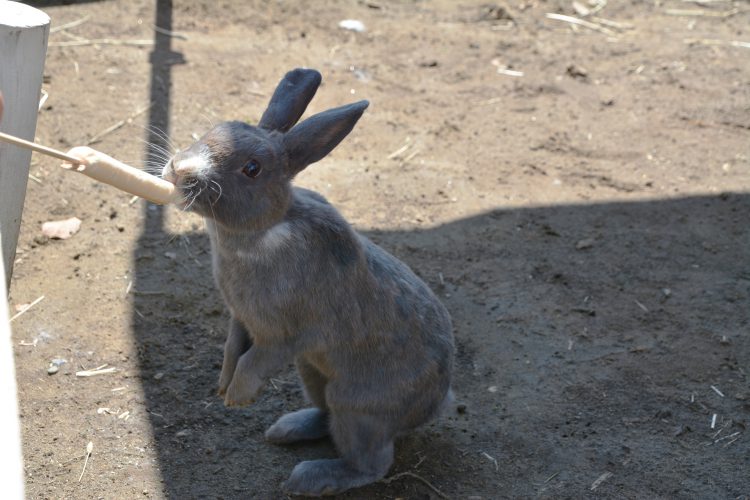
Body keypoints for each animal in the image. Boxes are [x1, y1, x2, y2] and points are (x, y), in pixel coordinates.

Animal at [164, 67, 456, 496]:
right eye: (213, 129)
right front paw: (222, 385)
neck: (263, 230)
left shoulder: (284, 335)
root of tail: (433, 404)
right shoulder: (242, 319)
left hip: (358, 405)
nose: (177, 168)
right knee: (325, 414)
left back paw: (307, 478)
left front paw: (237, 398)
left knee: (371, 463)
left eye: (252, 168)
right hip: (313, 372)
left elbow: (254, 360)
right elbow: (233, 348)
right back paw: (285, 429)